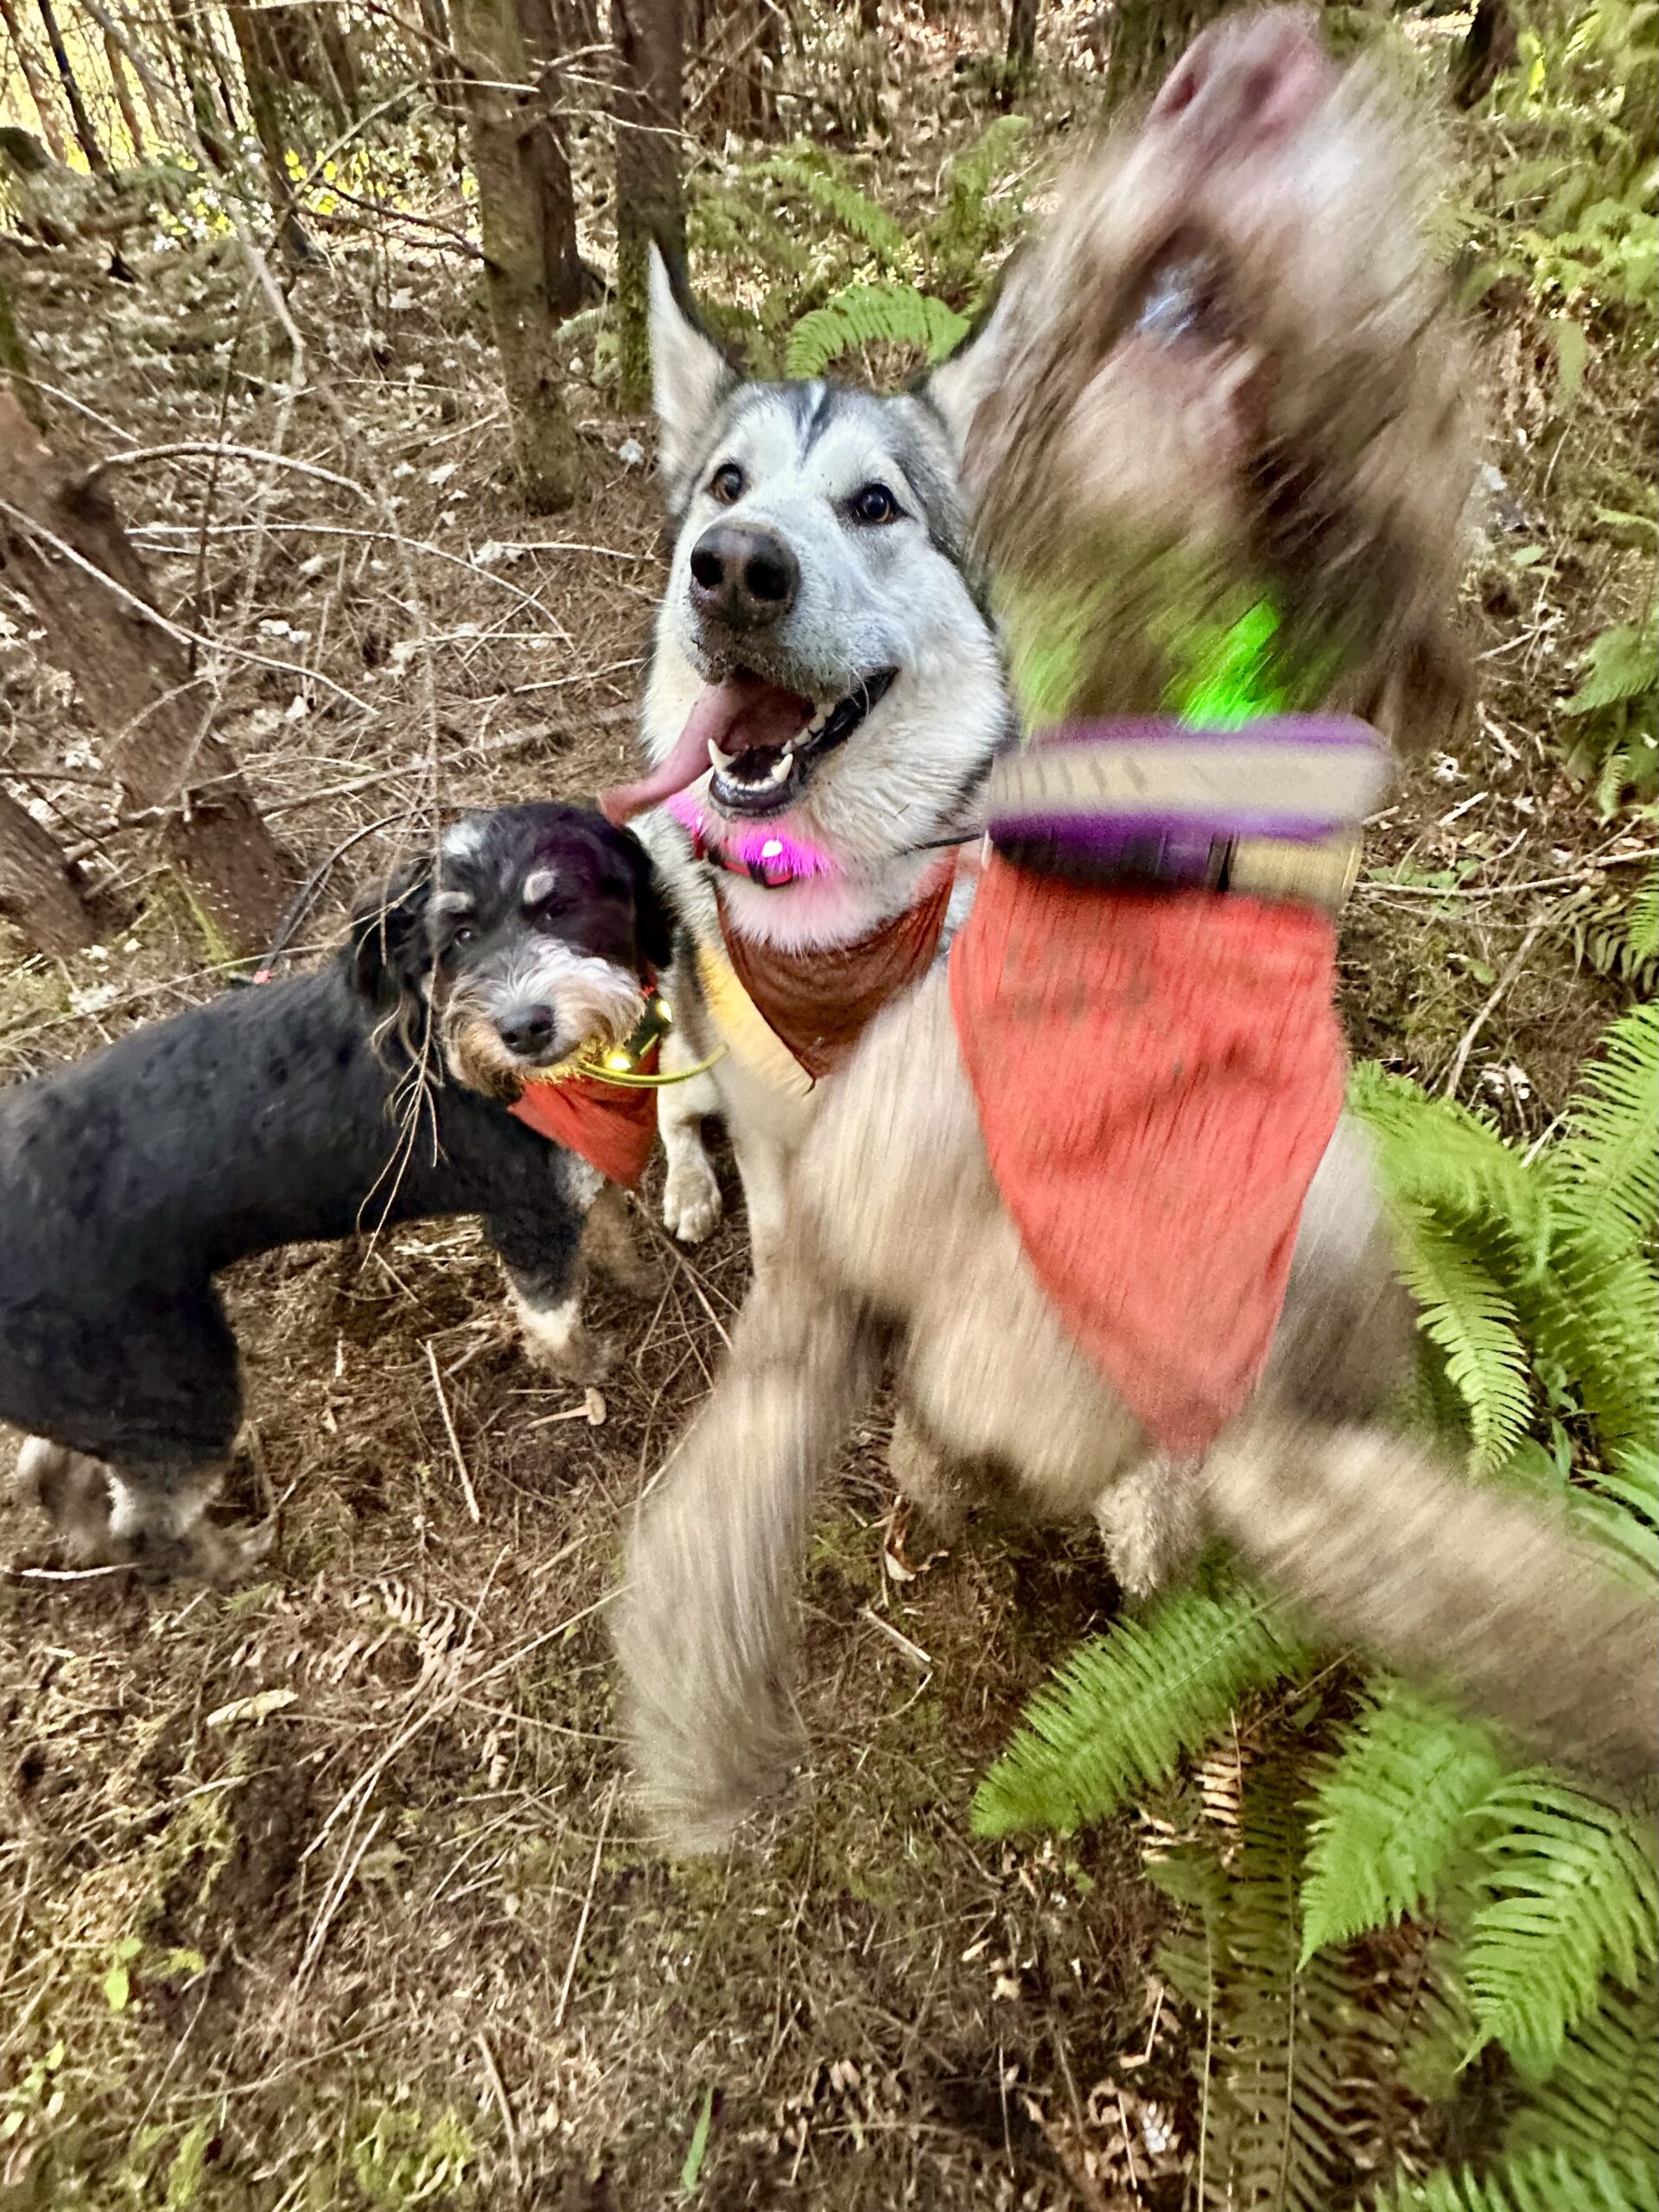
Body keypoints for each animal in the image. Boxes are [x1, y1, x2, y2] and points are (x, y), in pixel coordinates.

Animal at [4, 804, 677, 1583]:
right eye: (459, 936)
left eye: (559, 905)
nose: (523, 1029)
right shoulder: (527, 1215)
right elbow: (553, 1318)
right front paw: (588, 1367)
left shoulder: (572, 1181)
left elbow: (611, 1228)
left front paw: (642, 1281)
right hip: (174, 1382)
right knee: (151, 1517)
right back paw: (233, 1558)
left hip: (99, 1391)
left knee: (49, 1469)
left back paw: (88, 1542)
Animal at [606, 246, 1008, 1265]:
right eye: (727, 485)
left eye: (874, 504)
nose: (735, 569)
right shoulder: (766, 1133)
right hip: (695, 1050)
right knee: (672, 1103)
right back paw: (690, 1187)